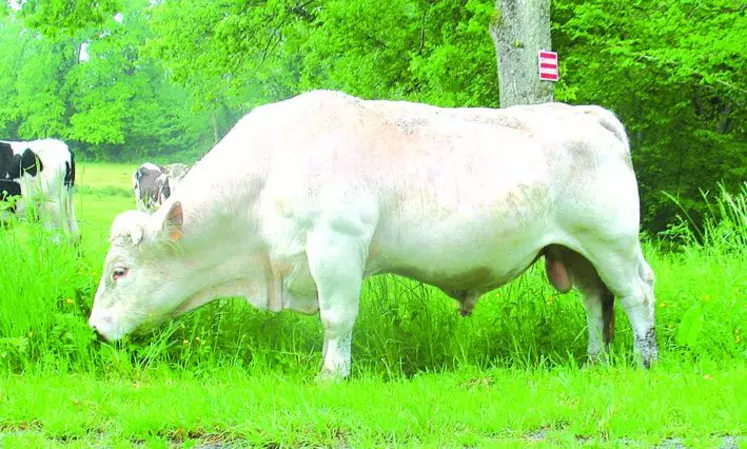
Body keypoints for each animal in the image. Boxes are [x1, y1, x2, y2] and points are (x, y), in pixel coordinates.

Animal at [89, 90, 660, 378]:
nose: (95, 328)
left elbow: (336, 318)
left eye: (120, 271)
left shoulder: (336, 246)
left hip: (612, 243)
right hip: (576, 251)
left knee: (637, 293)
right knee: (595, 300)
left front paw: (331, 376)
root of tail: (590, 115)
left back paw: (644, 360)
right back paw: (594, 361)